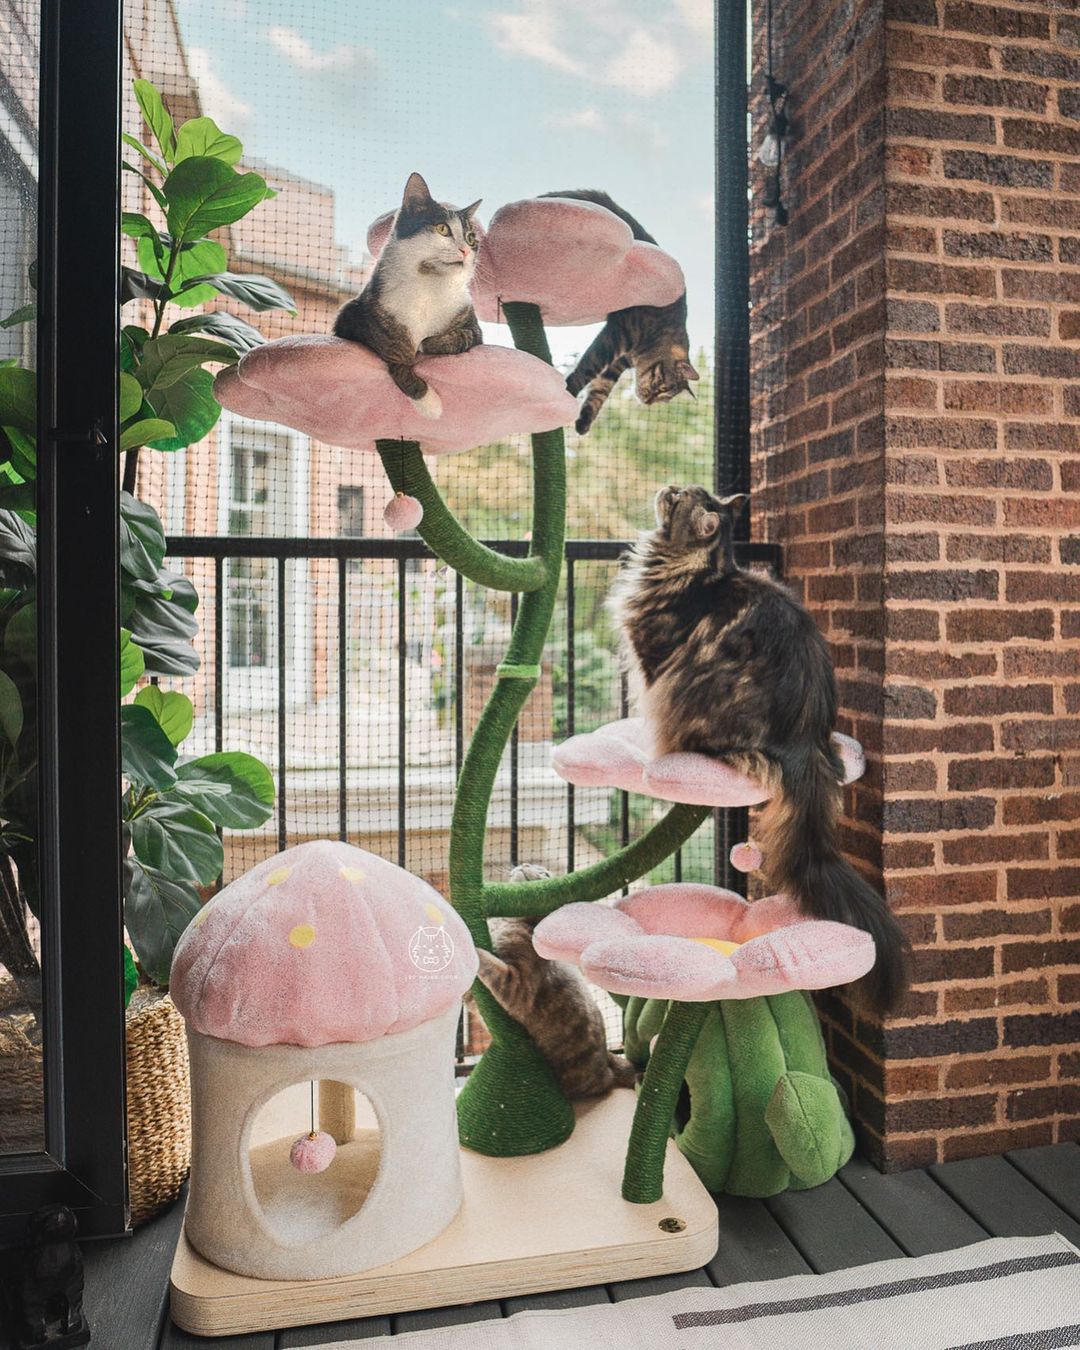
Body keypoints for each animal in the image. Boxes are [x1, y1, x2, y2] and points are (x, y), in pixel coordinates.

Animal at [330, 172, 477, 415]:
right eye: (442, 229)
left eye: (471, 238)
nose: (465, 250)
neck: (429, 286)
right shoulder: (354, 315)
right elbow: (397, 359)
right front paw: (431, 405)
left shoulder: (473, 325)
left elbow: (462, 337)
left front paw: (426, 344)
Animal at [540, 187, 702, 432]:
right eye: (663, 388)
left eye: (664, 398)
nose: (648, 401)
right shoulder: (615, 337)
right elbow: (587, 368)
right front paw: (569, 390)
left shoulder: (616, 364)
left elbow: (599, 391)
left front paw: (584, 422)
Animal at [612, 488, 907, 1015]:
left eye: (680, 498)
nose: (668, 488)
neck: (695, 568)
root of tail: (805, 742)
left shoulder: (653, 664)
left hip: (691, 685)